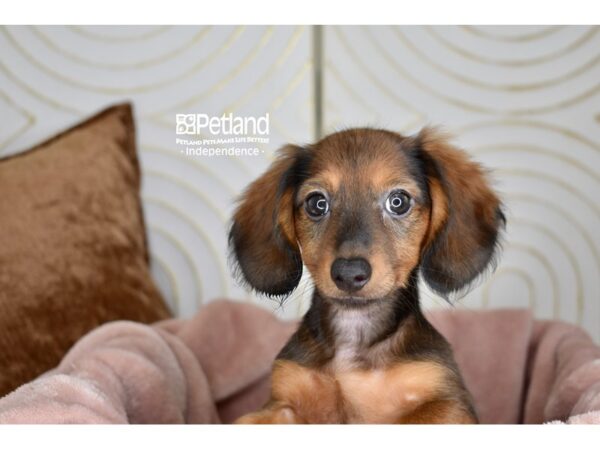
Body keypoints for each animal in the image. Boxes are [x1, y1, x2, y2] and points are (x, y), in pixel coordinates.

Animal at [227, 127, 504, 426]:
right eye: (317, 204)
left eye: (398, 201)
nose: (349, 273)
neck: (354, 332)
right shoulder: (282, 400)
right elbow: (246, 421)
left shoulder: (450, 403)